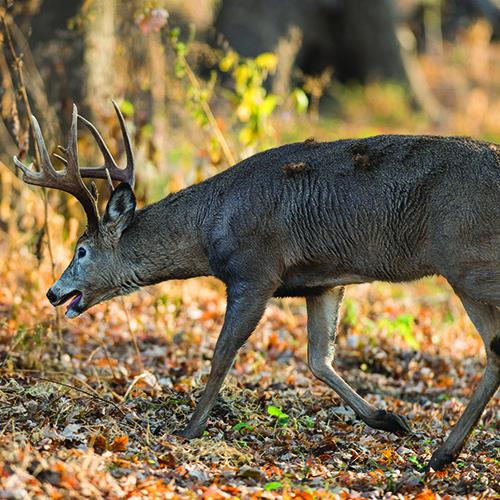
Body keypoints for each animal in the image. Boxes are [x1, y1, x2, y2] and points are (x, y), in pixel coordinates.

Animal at [12, 103, 500, 470]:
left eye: (81, 251)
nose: (53, 293)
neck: (209, 227)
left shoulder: (254, 271)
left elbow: (221, 355)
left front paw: (188, 430)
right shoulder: (321, 282)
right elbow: (318, 359)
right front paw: (390, 419)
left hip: (467, 261)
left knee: (493, 346)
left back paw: (444, 452)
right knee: (494, 349)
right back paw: (443, 453)